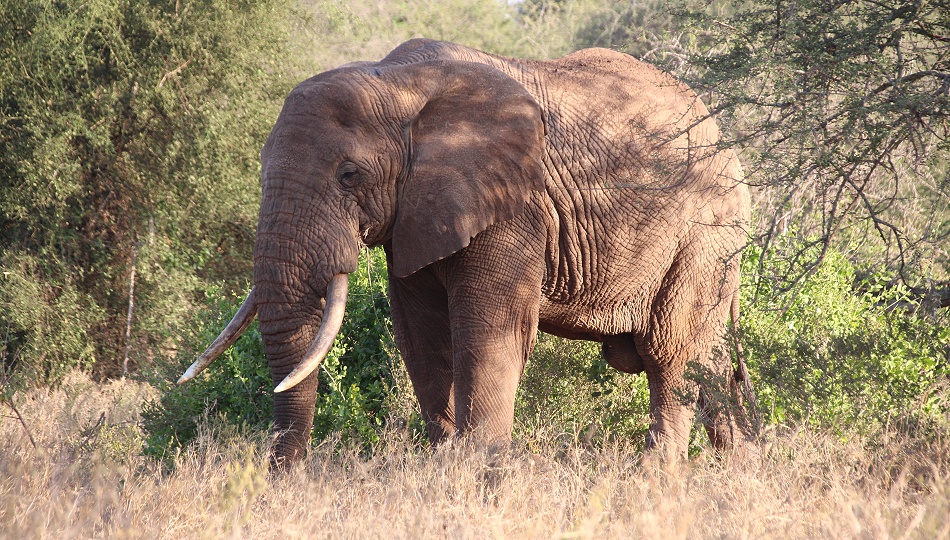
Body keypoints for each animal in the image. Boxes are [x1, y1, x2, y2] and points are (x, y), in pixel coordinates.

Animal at [178, 39, 756, 466]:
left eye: (349, 175)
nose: (286, 477)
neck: (399, 82)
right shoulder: (413, 214)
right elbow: (422, 335)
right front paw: (446, 463)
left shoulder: (518, 207)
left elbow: (487, 335)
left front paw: (478, 477)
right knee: (710, 363)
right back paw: (737, 473)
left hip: (705, 236)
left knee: (671, 355)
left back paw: (660, 479)